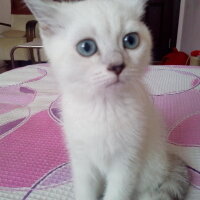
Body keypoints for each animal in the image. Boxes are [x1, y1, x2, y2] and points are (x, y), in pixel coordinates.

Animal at [25, 0, 189, 200]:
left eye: (130, 40)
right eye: (86, 47)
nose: (117, 65)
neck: (103, 107)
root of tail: (168, 157)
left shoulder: (127, 163)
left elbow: (116, 194)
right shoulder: (82, 161)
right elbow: (85, 192)